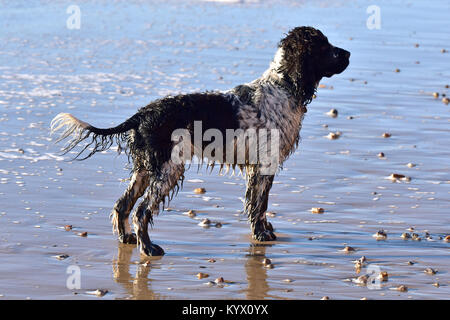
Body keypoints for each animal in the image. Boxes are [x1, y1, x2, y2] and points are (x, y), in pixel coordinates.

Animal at [51, 27, 350, 258]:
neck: (284, 86)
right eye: (324, 46)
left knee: (122, 205)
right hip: (168, 169)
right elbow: (259, 204)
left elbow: (257, 204)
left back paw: (127, 239)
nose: (347, 53)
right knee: (142, 211)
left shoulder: (256, 166)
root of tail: (142, 114)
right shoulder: (265, 165)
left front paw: (265, 230)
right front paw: (261, 234)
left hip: (145, 168)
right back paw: (149, 248)